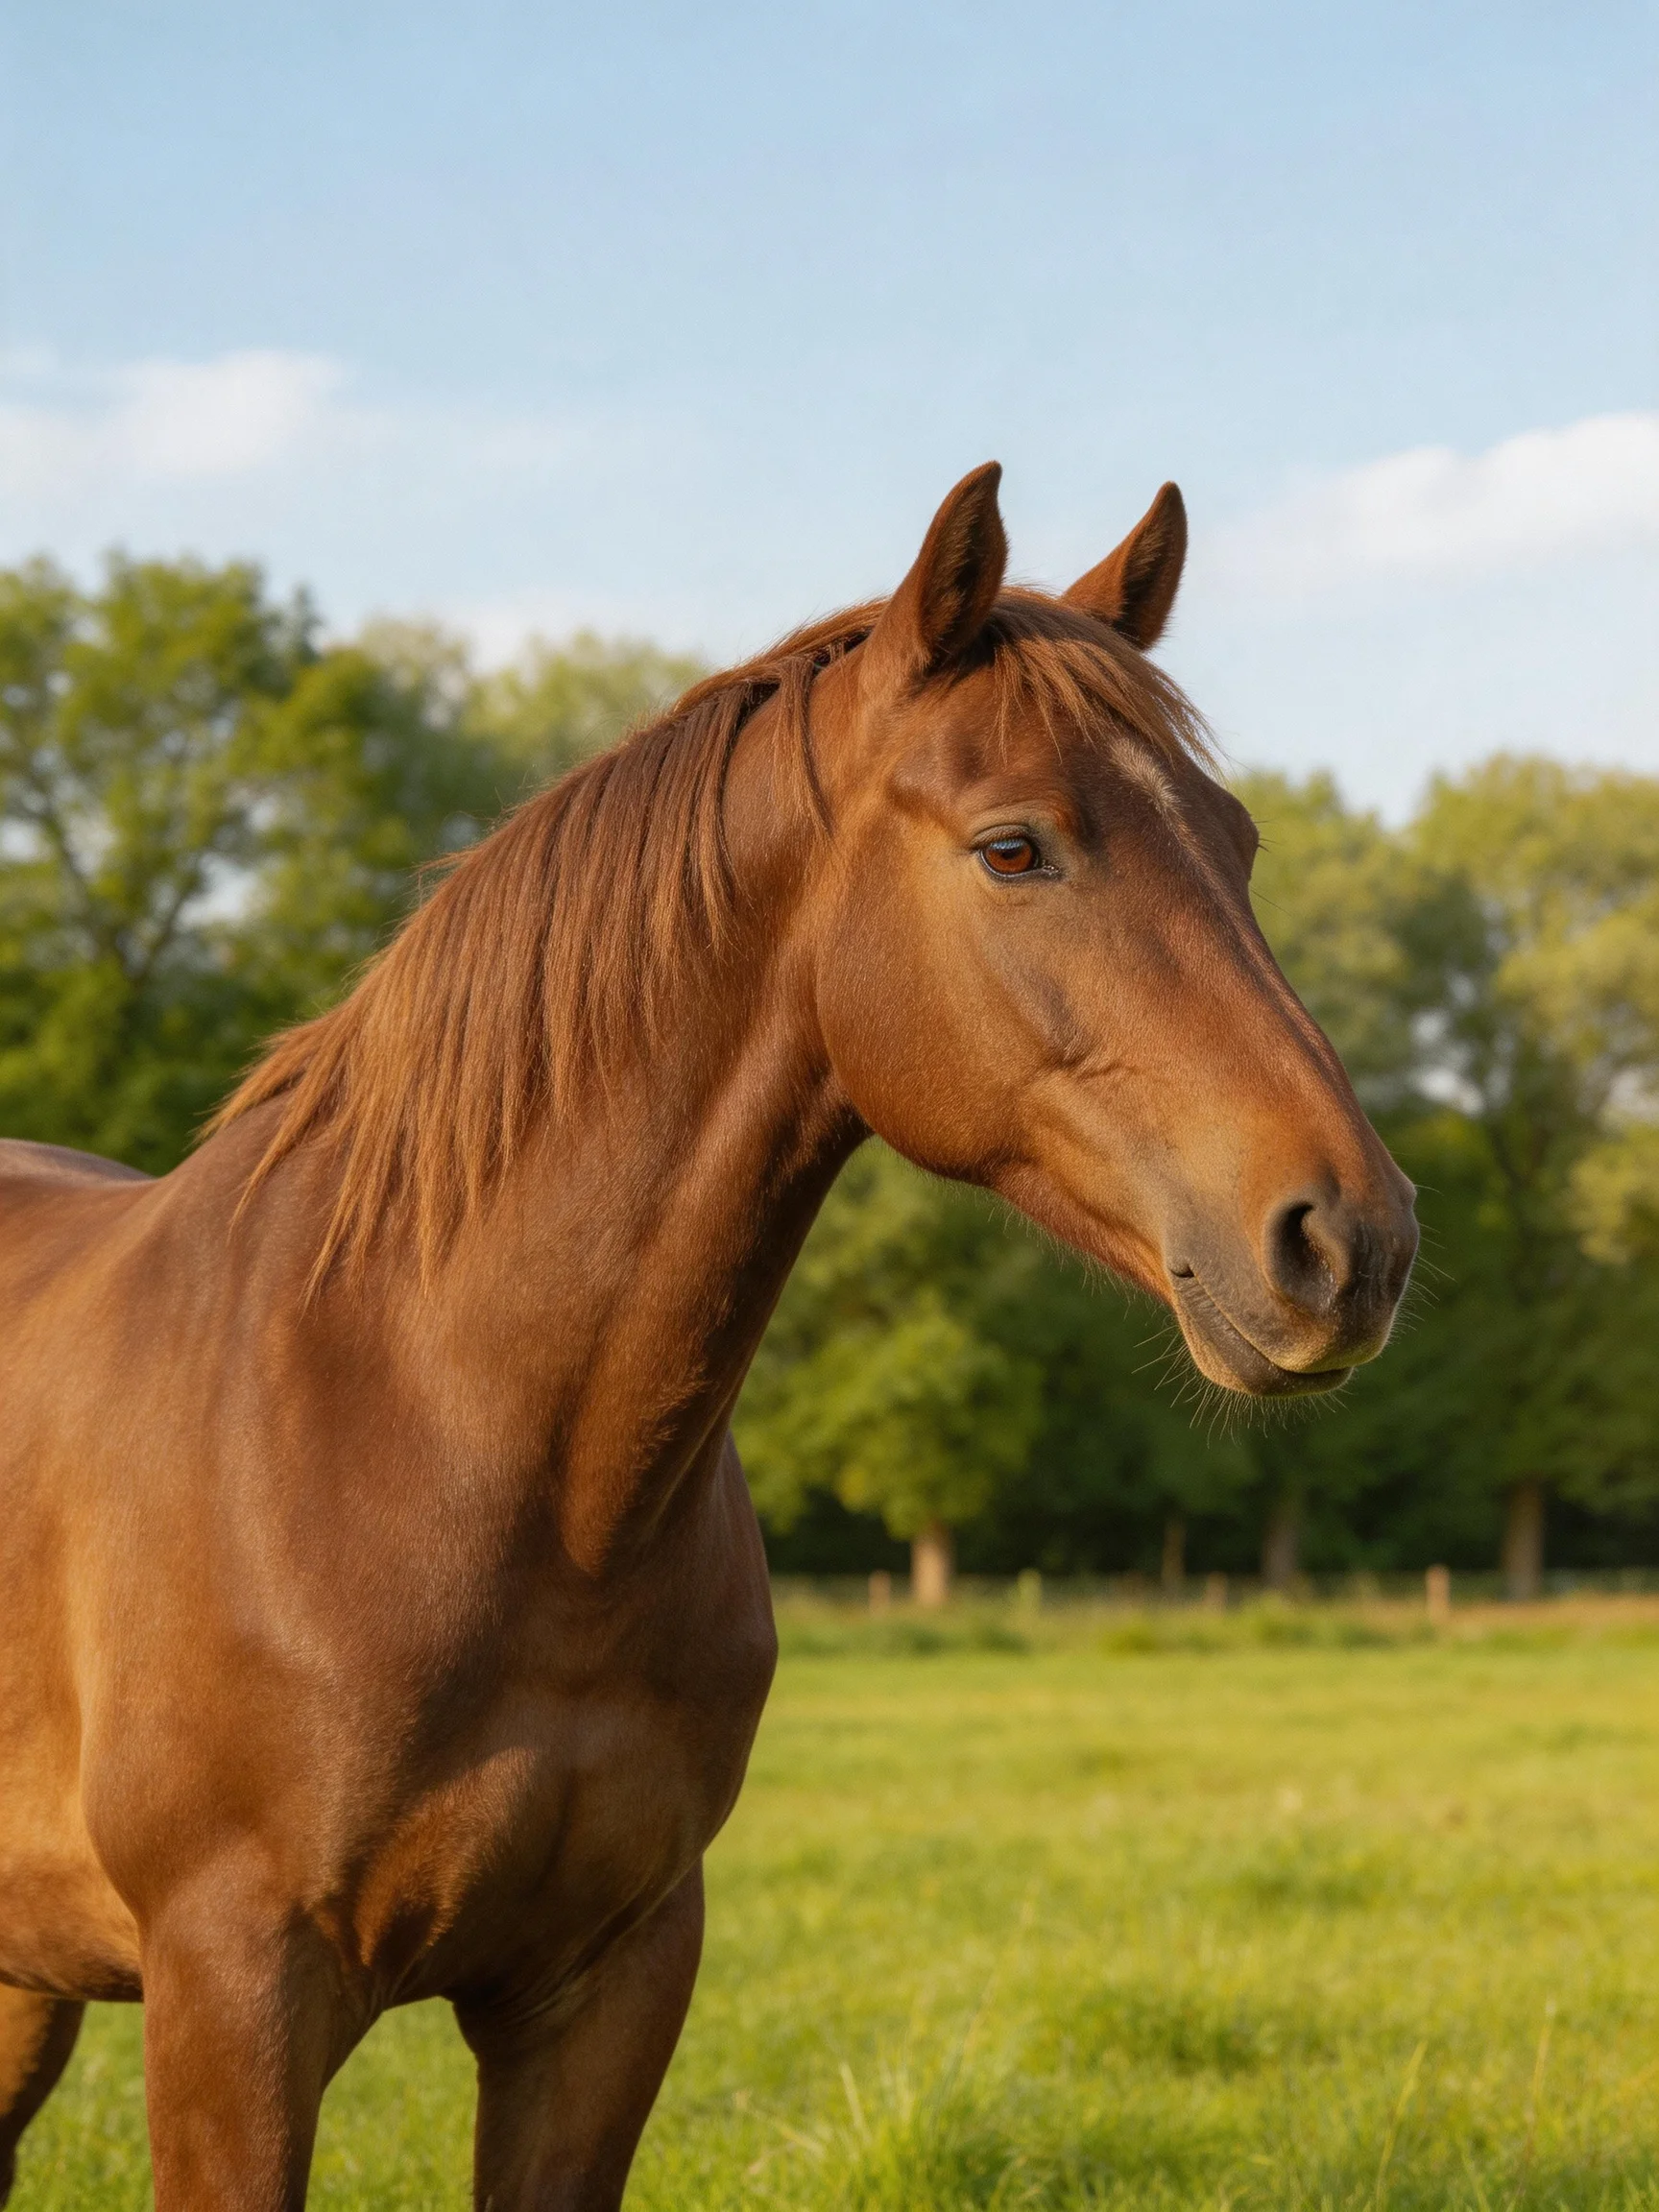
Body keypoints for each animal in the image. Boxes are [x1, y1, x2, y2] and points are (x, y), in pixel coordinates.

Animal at [0, 464, 1417, 2209]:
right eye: (1015, 846)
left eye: (1235, 838)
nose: (1348, 1241)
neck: (434, 1426)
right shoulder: (232, 1994)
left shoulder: (604, 1985)